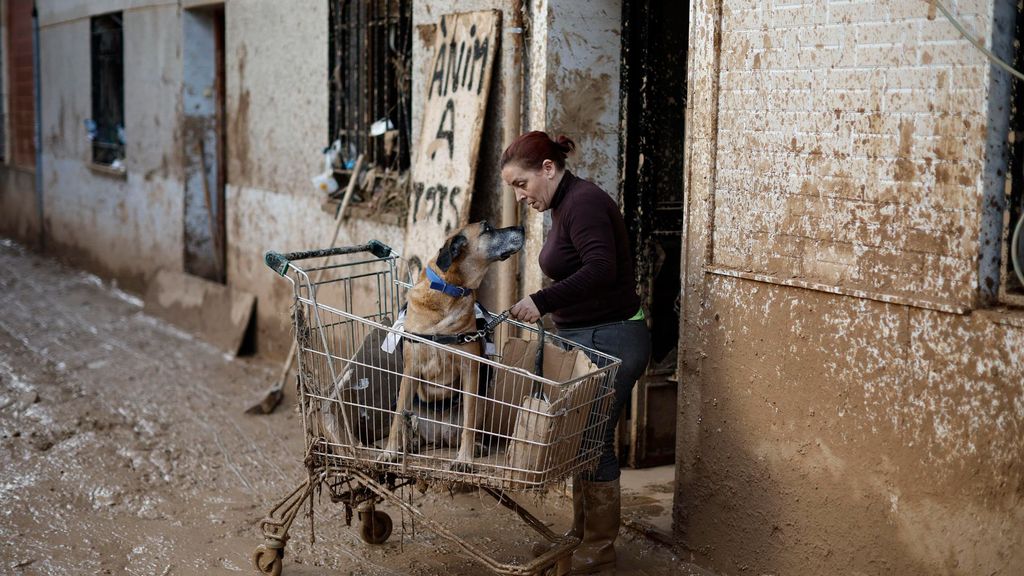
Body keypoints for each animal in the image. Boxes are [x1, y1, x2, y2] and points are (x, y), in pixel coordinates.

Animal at [374, 217, 520, 469]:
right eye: (488, 228)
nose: (522, 228)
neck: (448, 292)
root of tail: (438, 436)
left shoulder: (470, 370)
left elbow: (468, 424)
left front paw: (464, 458)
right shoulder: (411, 370)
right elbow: (396, 420)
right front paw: (390, 452)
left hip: (482, 402)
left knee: (462, 431)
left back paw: (474, 447)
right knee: (409, 423)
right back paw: (410, 442)